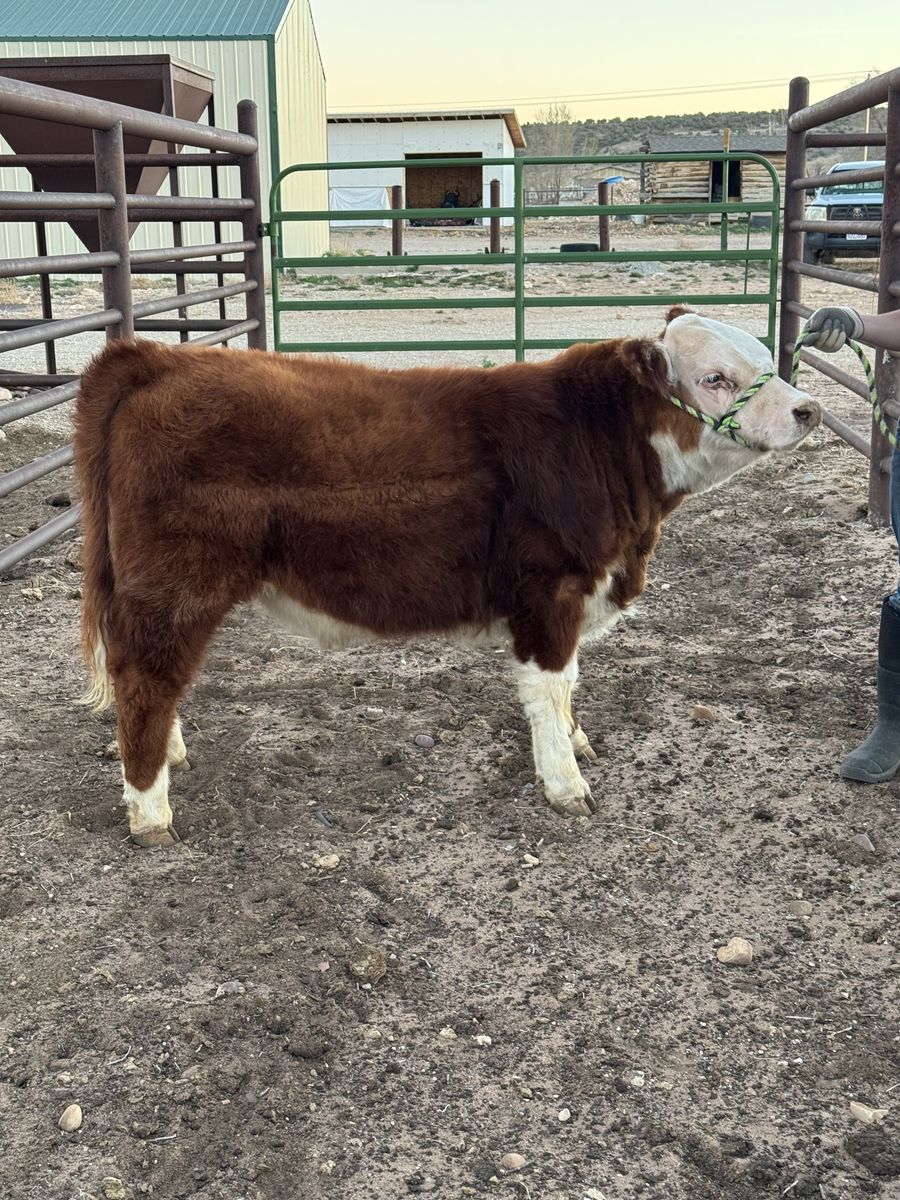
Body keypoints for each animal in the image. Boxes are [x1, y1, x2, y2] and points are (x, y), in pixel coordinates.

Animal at [74, 308, 820, 846]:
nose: (808, 409)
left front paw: (576, 739)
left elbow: (569, 684)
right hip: (175, 586)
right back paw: (150, 812)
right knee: (146, 681)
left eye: (761, 355)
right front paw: (565, 782)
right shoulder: (549, 592)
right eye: (716, 377)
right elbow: (550, 687)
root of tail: (158, 359)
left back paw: (172, 756)